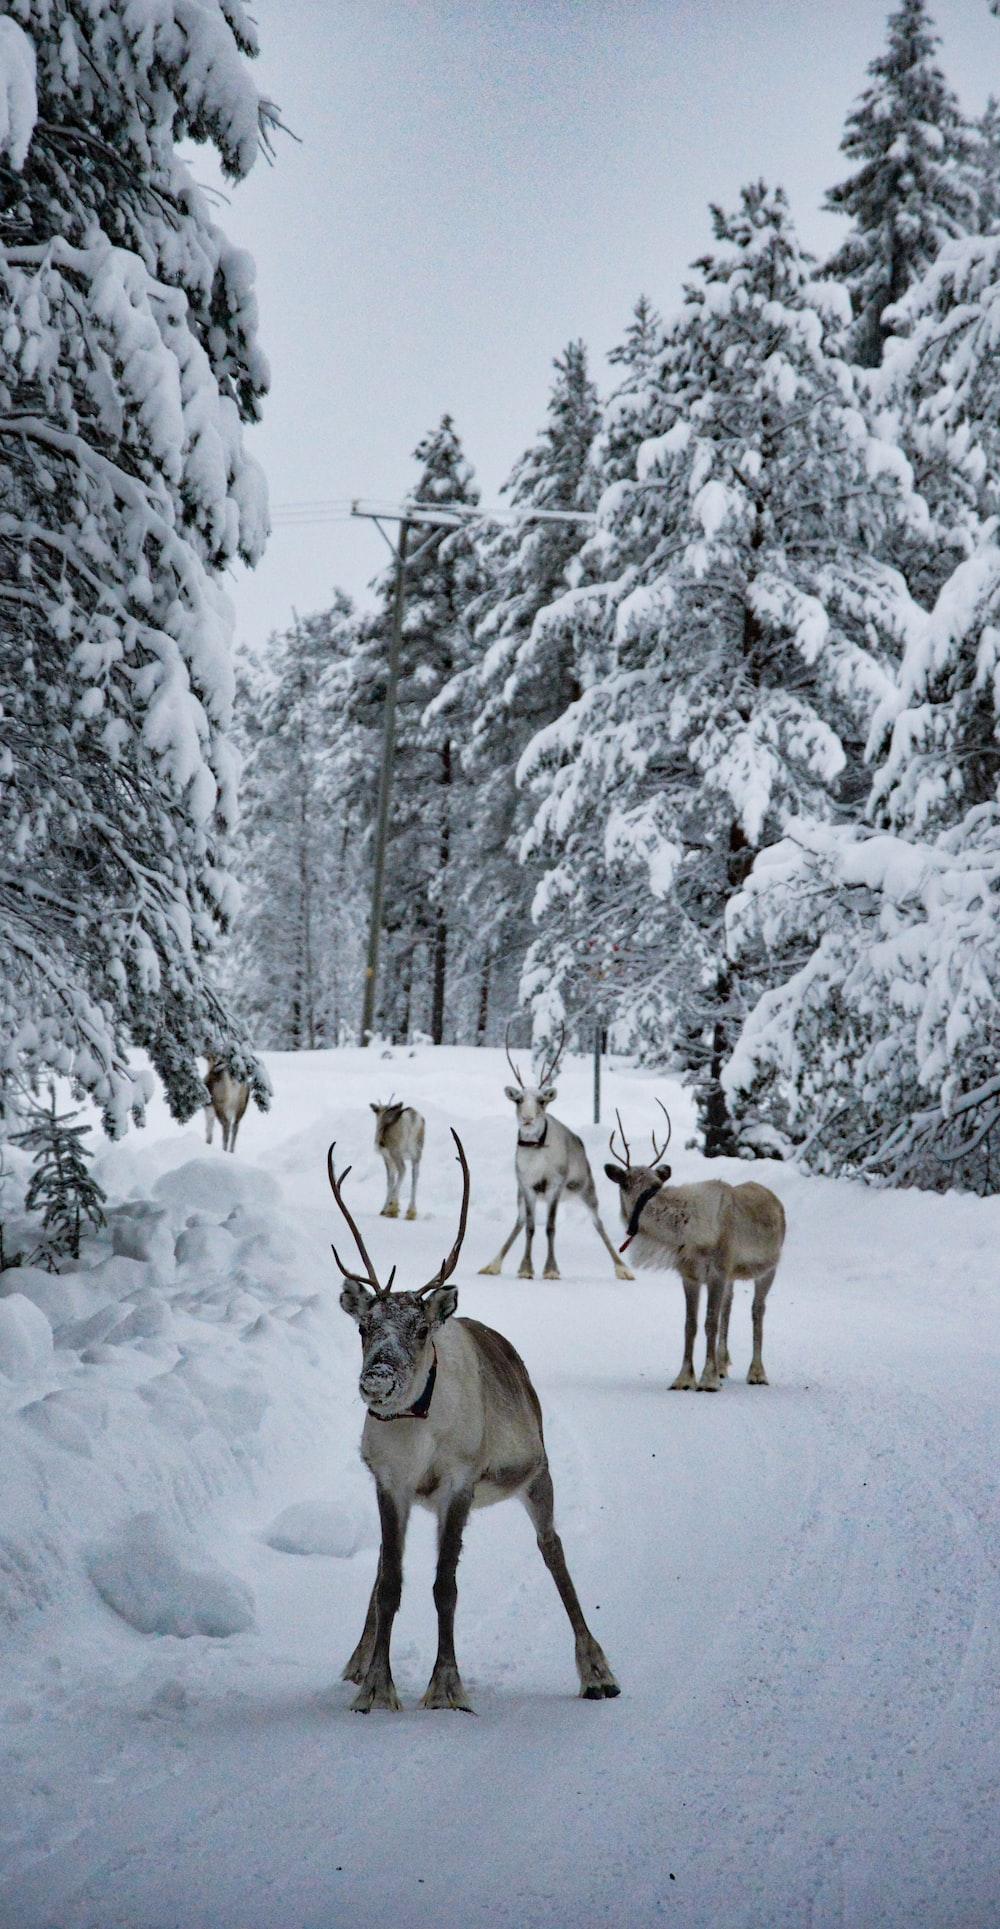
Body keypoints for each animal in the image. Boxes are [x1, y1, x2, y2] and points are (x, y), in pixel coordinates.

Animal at [330, 1131, 620, 1714]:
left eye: (420, 1330)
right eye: (364, 1327)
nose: (378, 1377)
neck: (415, 1428)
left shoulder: (458, 1483)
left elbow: (445, 1586)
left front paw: (446, 1688)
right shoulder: (390, 1483)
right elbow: (390, 1582)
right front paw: (375, 1687)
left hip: (538, 1475)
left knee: (554, 1550)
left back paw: (597, 1671)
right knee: (381, 1569)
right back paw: (356, 1662)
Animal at [479, 1024, 633, 1283]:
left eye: (542, 1101)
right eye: (518, 1100)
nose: (527, 1119)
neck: (536, 1152)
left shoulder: (555, 1185)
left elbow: (550, 1227)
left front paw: (551, 1270)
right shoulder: (527, 1186)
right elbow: (530, 1226)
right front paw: (525, 1269)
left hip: (586, 1189)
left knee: (598, 1223)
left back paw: (623, 1268)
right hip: (521, 1194)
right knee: (519, 1221)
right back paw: (492, 1264)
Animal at [604, 1102, 785, 1391]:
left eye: (655, 1184)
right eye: (625, 1182)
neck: (687, 1230)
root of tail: (776, 1200)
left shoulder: (717, 1271)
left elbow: (709, 1321)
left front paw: (707, 1379)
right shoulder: (689, 1274)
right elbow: (690, 1325)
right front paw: (684, 1378)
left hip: (768, 1269)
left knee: (757, 1311)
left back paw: (756, 1373)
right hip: (733, 1275)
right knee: (728, 1307)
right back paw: (723, 1365)